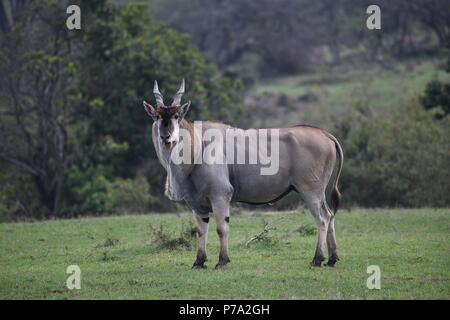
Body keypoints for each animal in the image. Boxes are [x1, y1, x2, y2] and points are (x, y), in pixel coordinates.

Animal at [144, 79, 344, 268]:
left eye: (176, 116)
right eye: (157, 116)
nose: (166, 137)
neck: (198, 145)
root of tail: (325, 134)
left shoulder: (220, 196)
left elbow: (221, 228)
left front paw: (222, 261)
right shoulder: (197, 204)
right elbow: (201, 231)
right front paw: (199, 262)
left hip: (310, 191)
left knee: (322, 219)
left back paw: (317, 259)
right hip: (318, 193)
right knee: (330, 215)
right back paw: (332, 259)